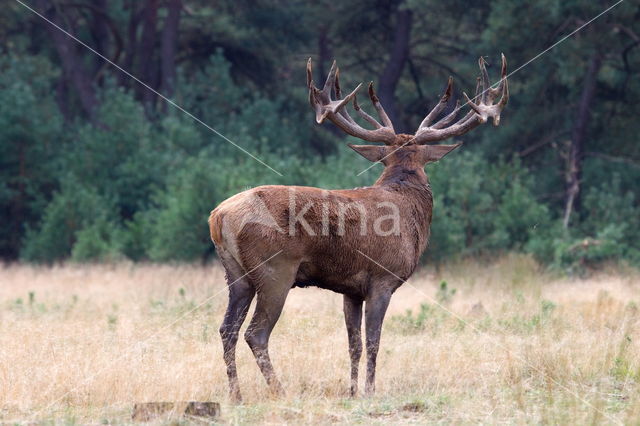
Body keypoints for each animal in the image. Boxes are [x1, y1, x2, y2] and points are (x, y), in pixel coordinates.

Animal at [210, 55, 510, 402]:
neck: (409, 208)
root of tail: (219, 216)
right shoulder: (382, 279)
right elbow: (374, 341)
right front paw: (370, 391)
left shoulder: (350, 289)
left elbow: (353, 344)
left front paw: (352, 391)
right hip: (276, 269)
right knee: (255, 333)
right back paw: (279, 391)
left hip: (236, 274)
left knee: (226, 329)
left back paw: (236, 394)